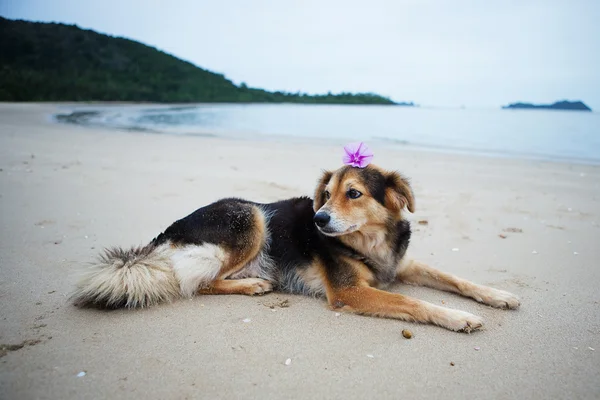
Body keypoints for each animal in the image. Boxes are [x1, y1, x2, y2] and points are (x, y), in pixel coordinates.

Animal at [71, 162, 520, 332]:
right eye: (326, 194)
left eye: (353, 194)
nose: (318, 220)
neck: (368, 240)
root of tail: (165, 234)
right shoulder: (349, 291)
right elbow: (413, 303)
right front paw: (458, 317)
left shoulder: (401, 265)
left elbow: (454, 277)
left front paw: (497, 295)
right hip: (249, 218)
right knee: (194, 282)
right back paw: (252, 285)